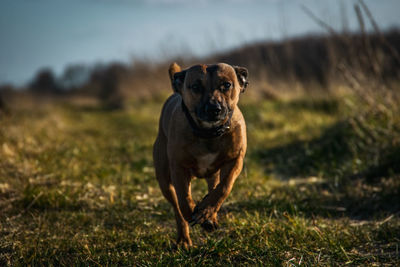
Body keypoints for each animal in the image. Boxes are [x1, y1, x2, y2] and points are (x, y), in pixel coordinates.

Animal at [152, 61, 248, 248]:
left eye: (227, 85)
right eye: (196, 87)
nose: (213, 109)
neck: (208, 133)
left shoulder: (235, 160)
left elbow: (224, 187)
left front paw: (206, 212)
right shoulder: (179, 168)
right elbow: (183, 198)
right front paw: (192, 212)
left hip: (213, 174)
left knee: (213, 188)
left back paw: (209, 217)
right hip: (164, 180)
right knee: (177, 208)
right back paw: (184, 239)